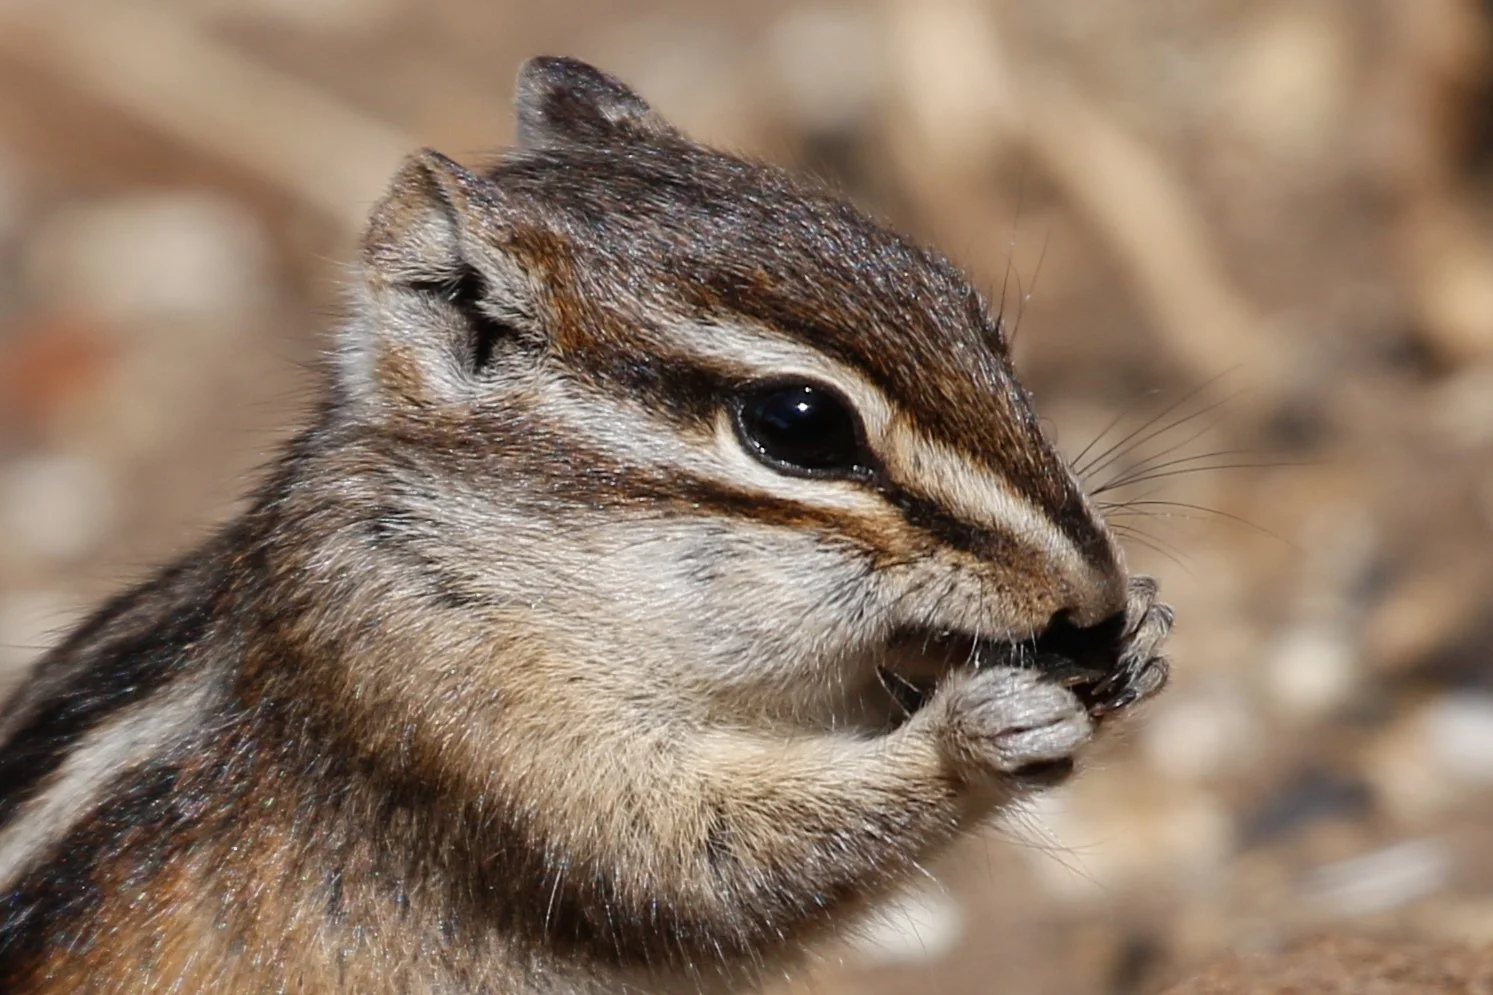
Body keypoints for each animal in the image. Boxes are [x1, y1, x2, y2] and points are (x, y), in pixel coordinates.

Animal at [0, 57, 1171, 994]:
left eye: (969, 313)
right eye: (797, 423)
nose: (1095, 598)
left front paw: (1138, 640)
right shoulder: (444, 705)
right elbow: (704, 867)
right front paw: (981, 729)